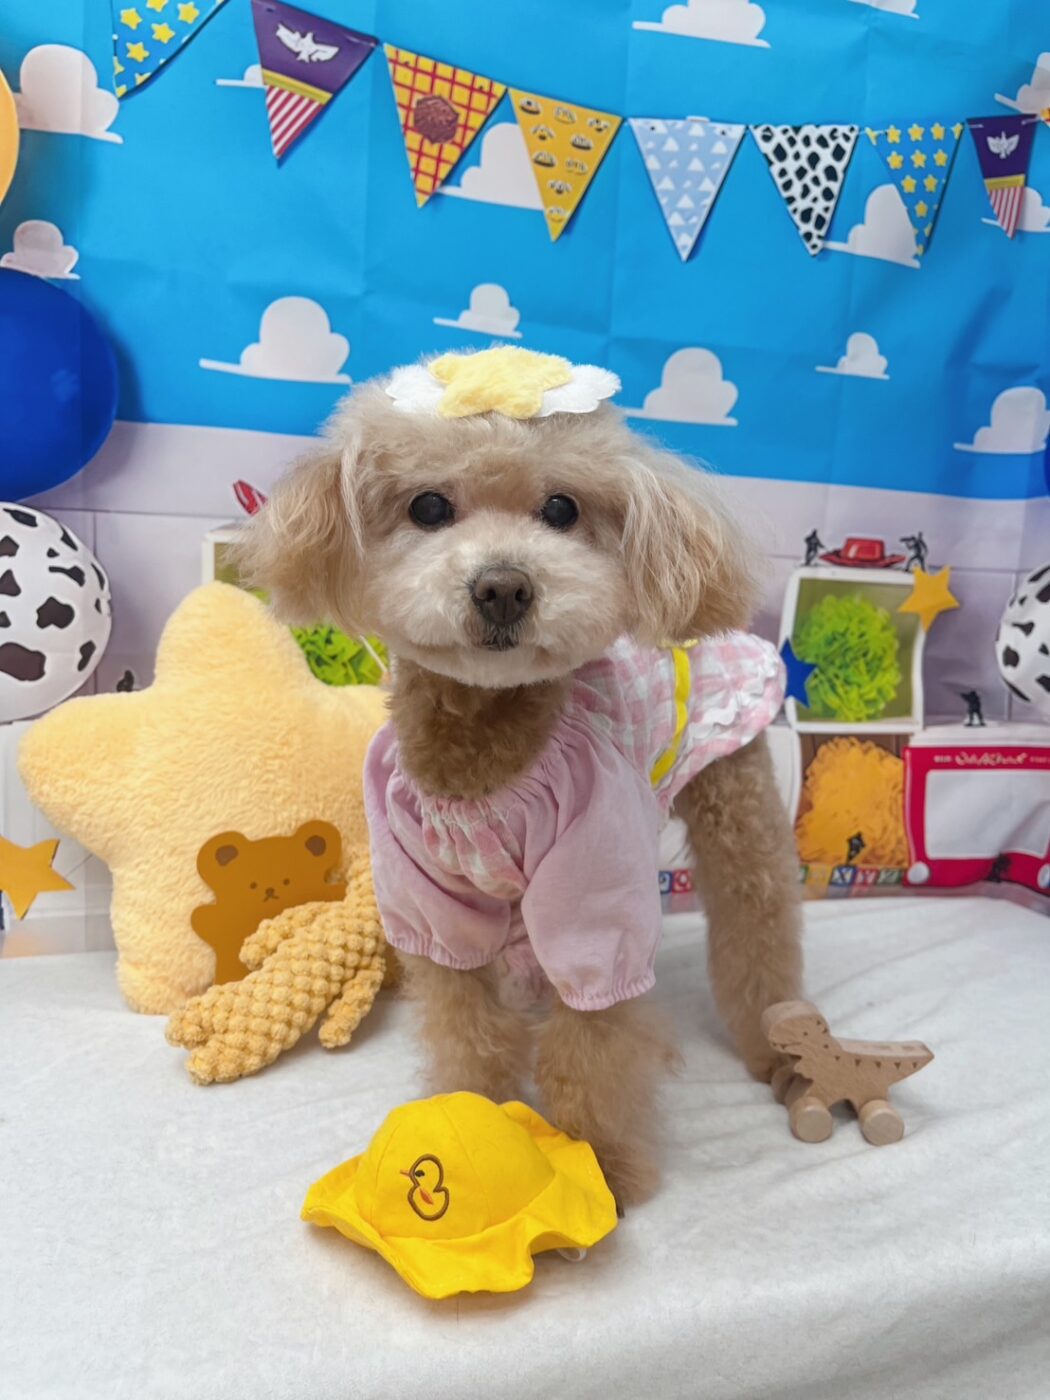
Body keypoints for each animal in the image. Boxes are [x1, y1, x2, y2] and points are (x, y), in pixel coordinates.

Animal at [238, 349, 803, 1206]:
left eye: (562, 509)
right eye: (429, 506)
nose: (503, 586)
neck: (485, 753)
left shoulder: (592, 886)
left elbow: (595, 1034)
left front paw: (598, 1163)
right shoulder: (431, 897)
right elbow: (465, 1021)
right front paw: (475, 1115)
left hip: (736, 801)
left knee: (758, 923)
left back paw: (778, 1046)